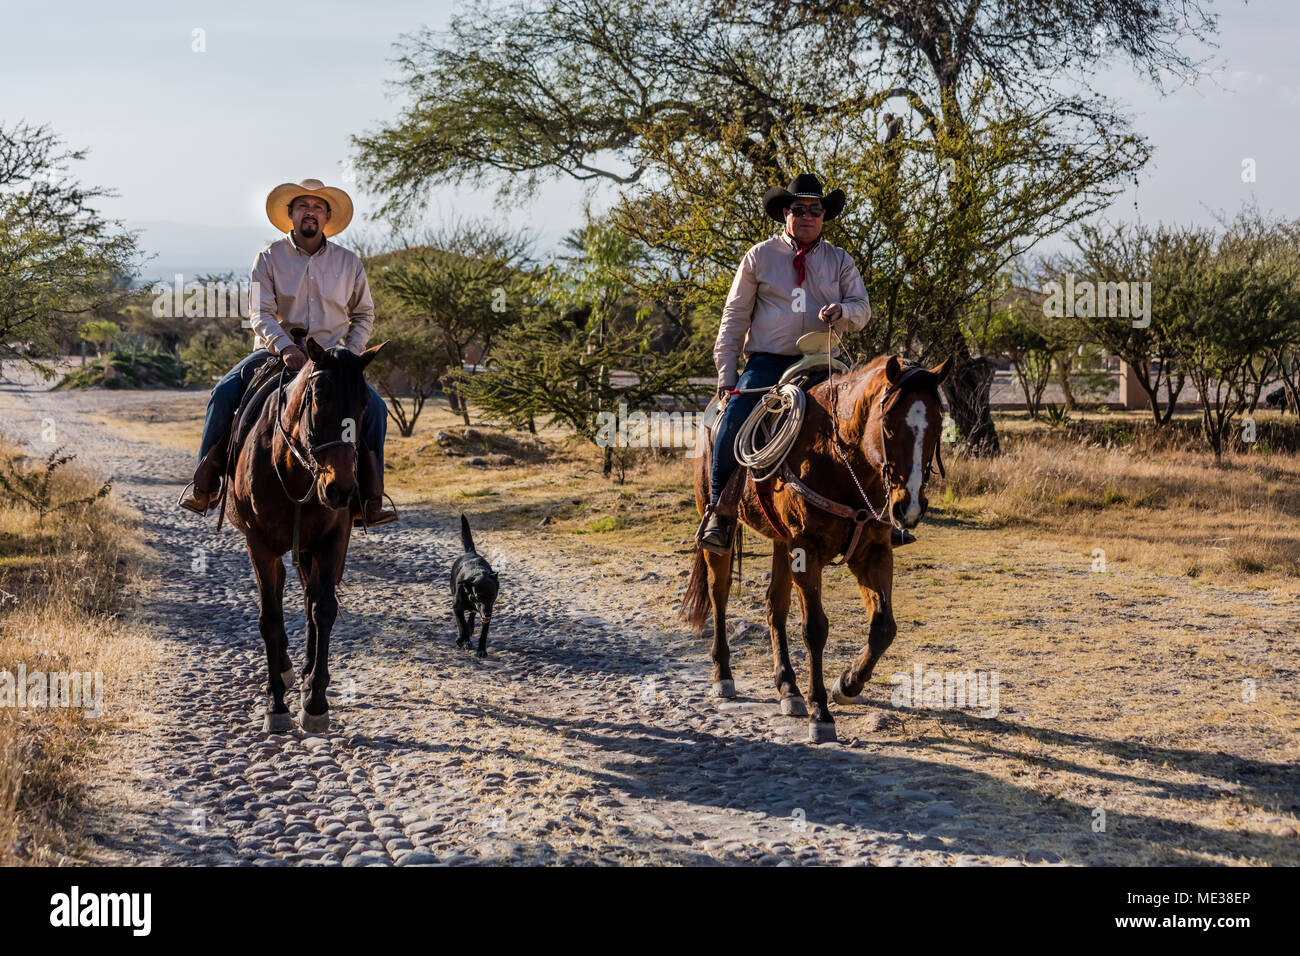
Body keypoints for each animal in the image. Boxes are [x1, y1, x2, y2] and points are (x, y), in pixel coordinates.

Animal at [226, 340, 384, 738]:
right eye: (319, 398)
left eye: (363, 403)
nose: (342, 489)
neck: (296, 470)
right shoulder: (259, 544)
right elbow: (270, 617)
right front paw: (277, 706)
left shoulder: (333, 539)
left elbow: (323, 609)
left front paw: (315, 702)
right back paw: (284, 671)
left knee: (312, 598)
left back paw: (308, 673)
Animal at [454, 515, 499, 658]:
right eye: (479, 596)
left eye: (493, 595)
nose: (488, 613)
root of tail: (471, 552)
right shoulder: (456, 608)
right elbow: (462, 625)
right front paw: (462, 639)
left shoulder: (487, 613)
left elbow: (483, 633)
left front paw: (481, 649)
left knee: (472, 614)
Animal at [681, 356, 956, 743]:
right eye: (888, 426)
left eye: (936, 426)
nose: (910, 507)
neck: (841, 461)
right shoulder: (806, 549)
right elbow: (815, 628)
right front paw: (820, 713)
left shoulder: (872, 551)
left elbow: (883, 627)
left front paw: (847, 685)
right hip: (725, 531)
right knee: (718, 594)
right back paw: (724, 675)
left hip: (782, 543)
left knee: (774, 606)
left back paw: (788, 689)